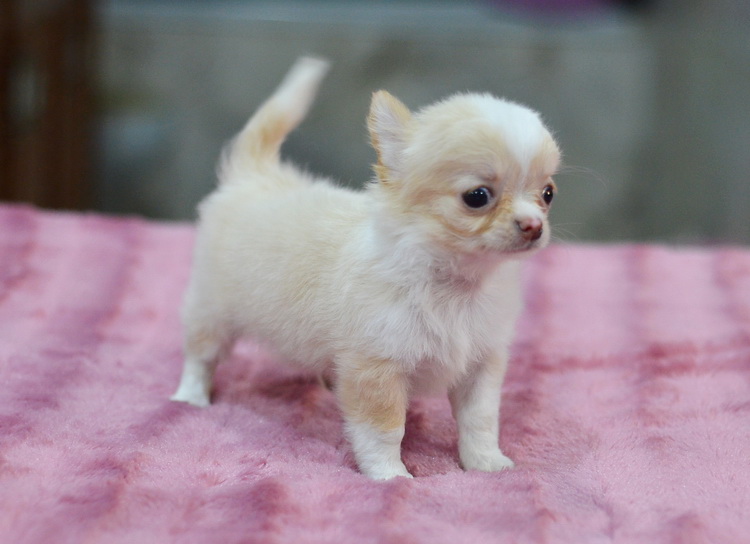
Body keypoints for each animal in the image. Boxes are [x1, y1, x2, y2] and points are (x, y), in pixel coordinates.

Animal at [171, 57, 560, 480]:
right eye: (477, 197)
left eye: (548, 194)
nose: (534, 225)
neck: (454, 284)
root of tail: (254, 176)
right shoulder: (376, 368)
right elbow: (384, 430)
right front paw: (390, 476)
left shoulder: (481, 363)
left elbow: (481, 420)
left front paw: (486, 463)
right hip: (212, 310)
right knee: (200, 357)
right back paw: (190, 398)